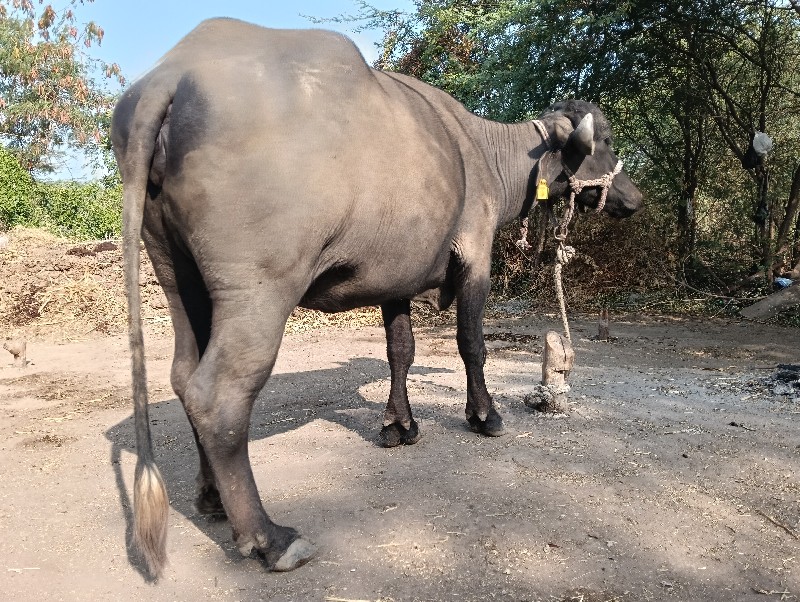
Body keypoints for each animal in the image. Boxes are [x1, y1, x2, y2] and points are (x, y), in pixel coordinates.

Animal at [111, 17, 644, 576]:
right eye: (605, 141)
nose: (634, 197)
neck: (482, 151)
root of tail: (171, 75)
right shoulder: (475, 257)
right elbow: (471, 343)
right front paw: (485, 416)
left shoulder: (397, 282)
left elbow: (400, 351)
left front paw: (398, 425)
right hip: (258, 290)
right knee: (217, 393)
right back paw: (269, 538)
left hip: (178, 276)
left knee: (182, 375)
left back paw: (212, 497)